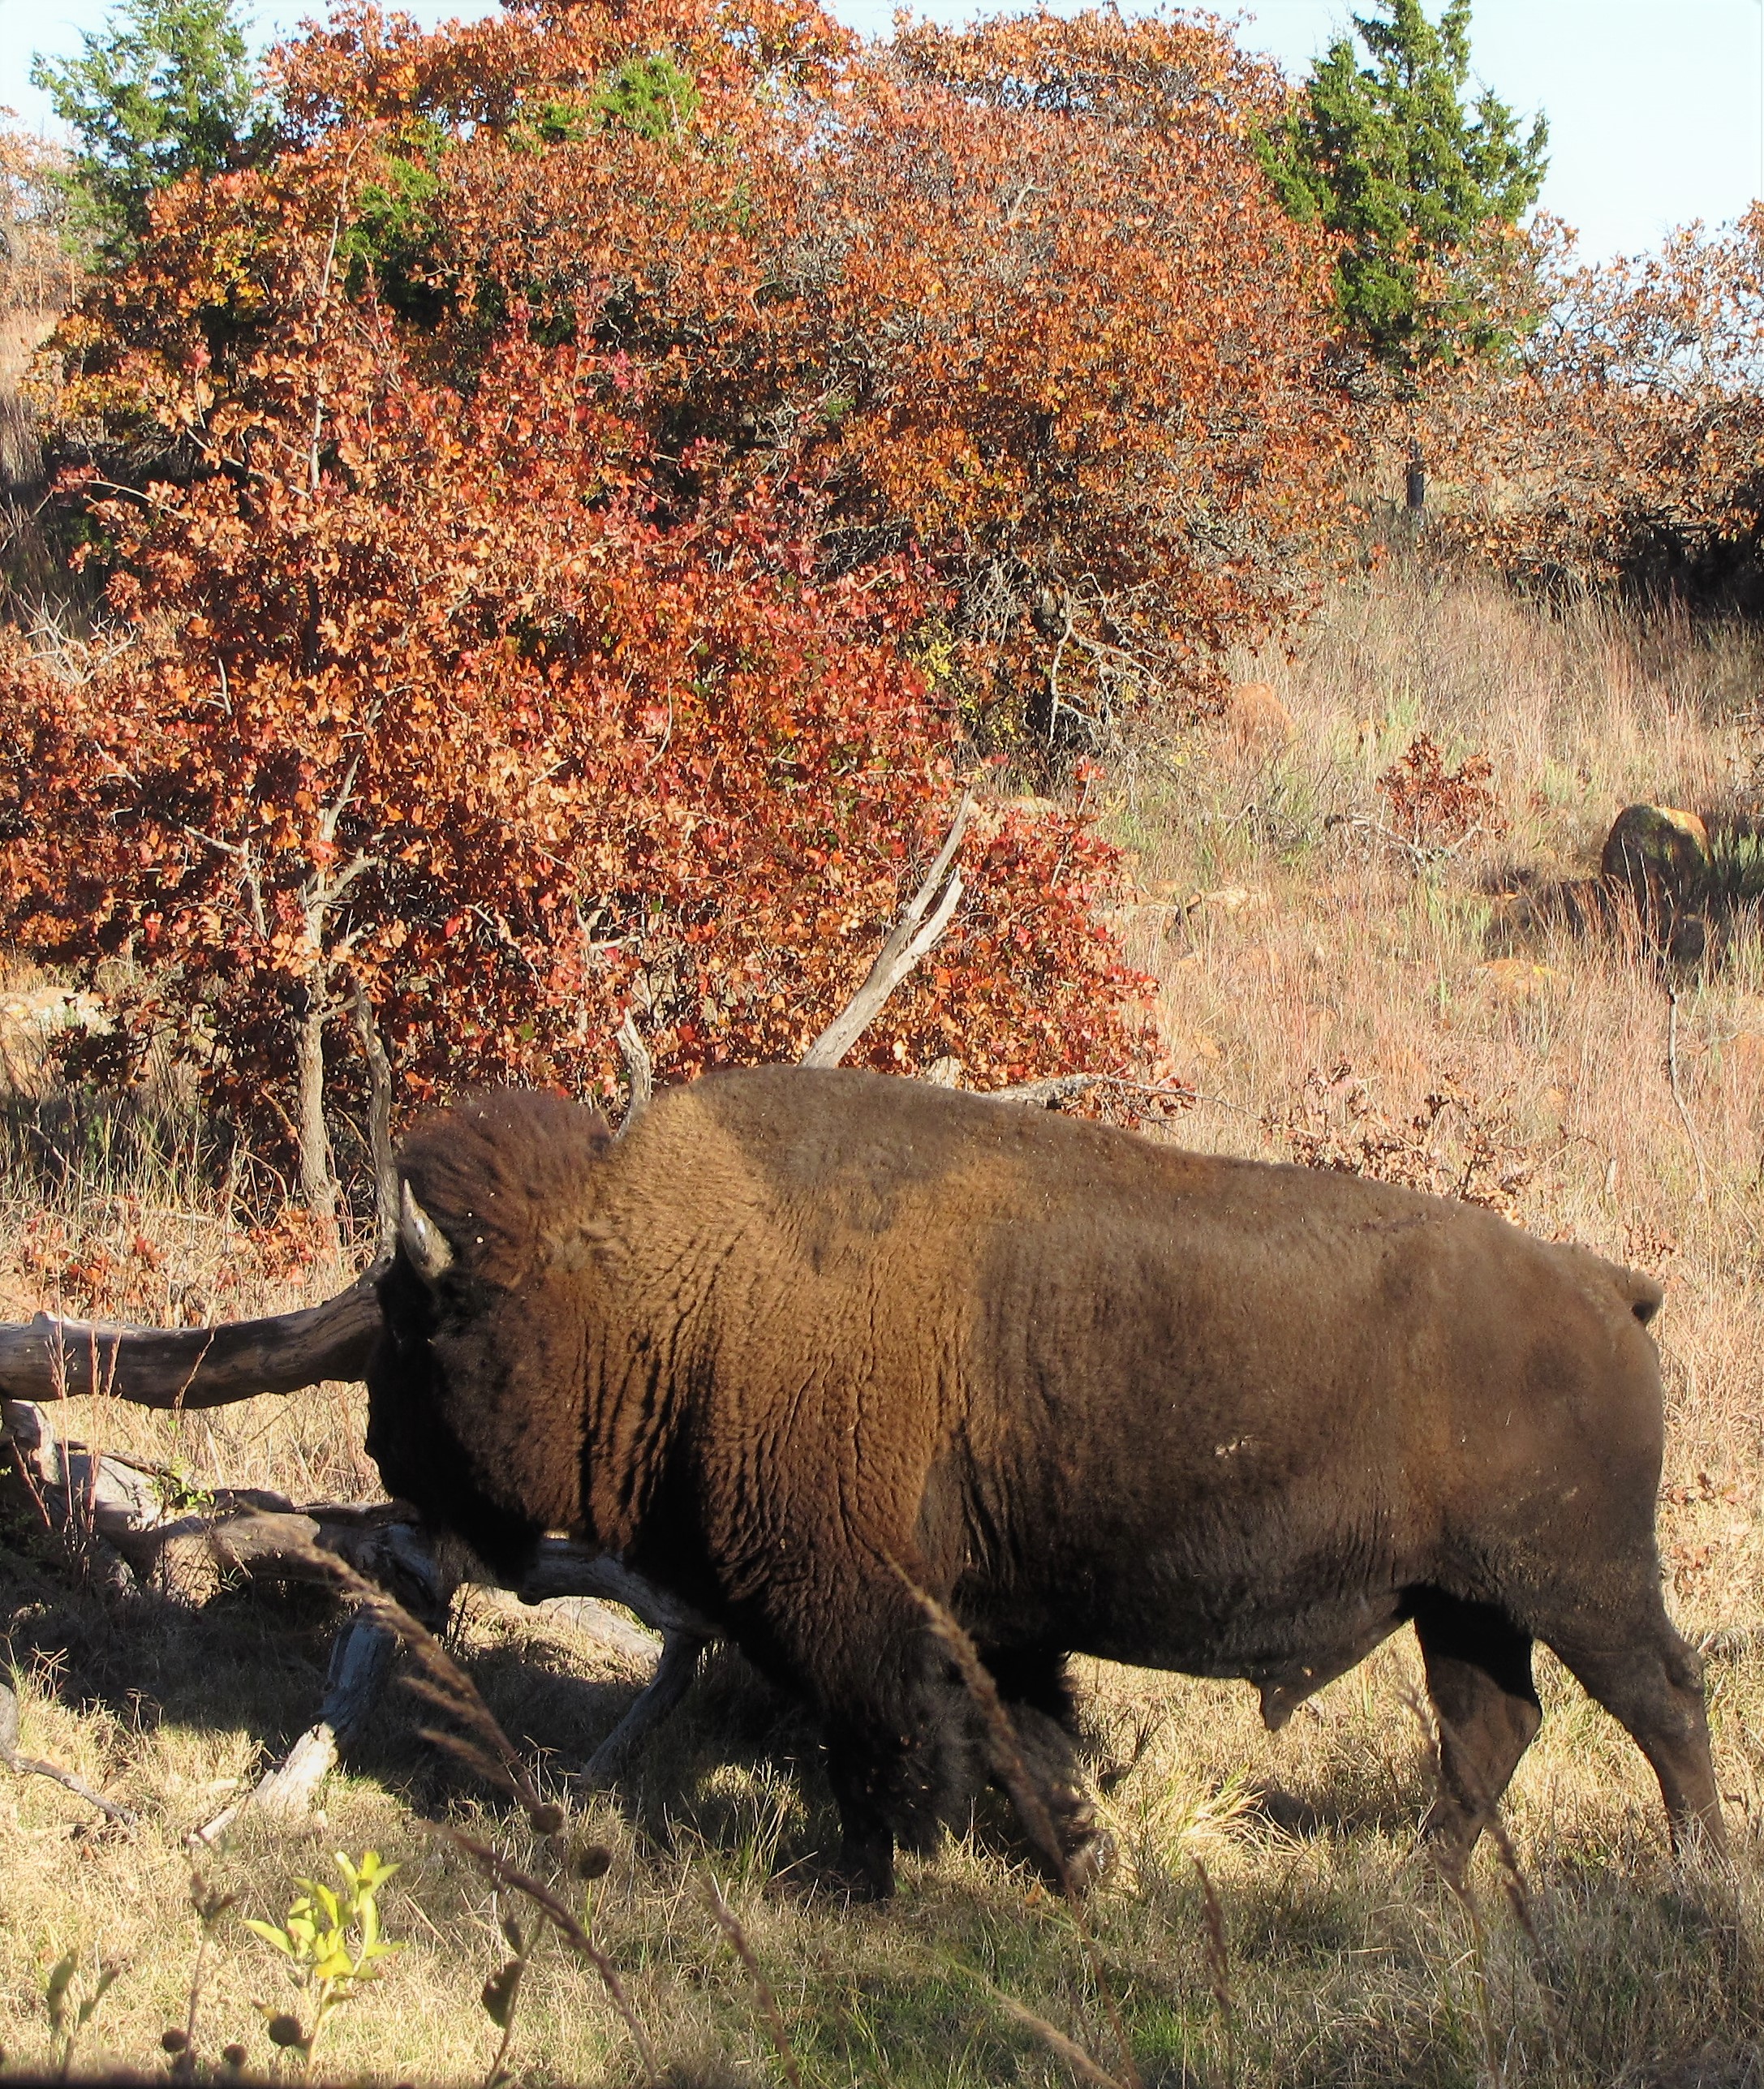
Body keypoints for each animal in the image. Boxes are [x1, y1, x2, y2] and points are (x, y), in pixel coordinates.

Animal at [366, 1065, 1723, 1897]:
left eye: (427, 1325)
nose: (380, 1448)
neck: (670, 1280)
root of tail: (1600, 1283)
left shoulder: (844, 1601)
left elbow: (883, 1746)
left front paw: (864, 1882)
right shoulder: (985, 1619)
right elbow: (1028, 1740)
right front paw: (1077, 1863)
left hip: (1575, 1585)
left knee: (1659, 1699)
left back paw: (1695, 1875)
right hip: (1463, 1602)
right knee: (1490, 1724)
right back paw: (1419, 1885)